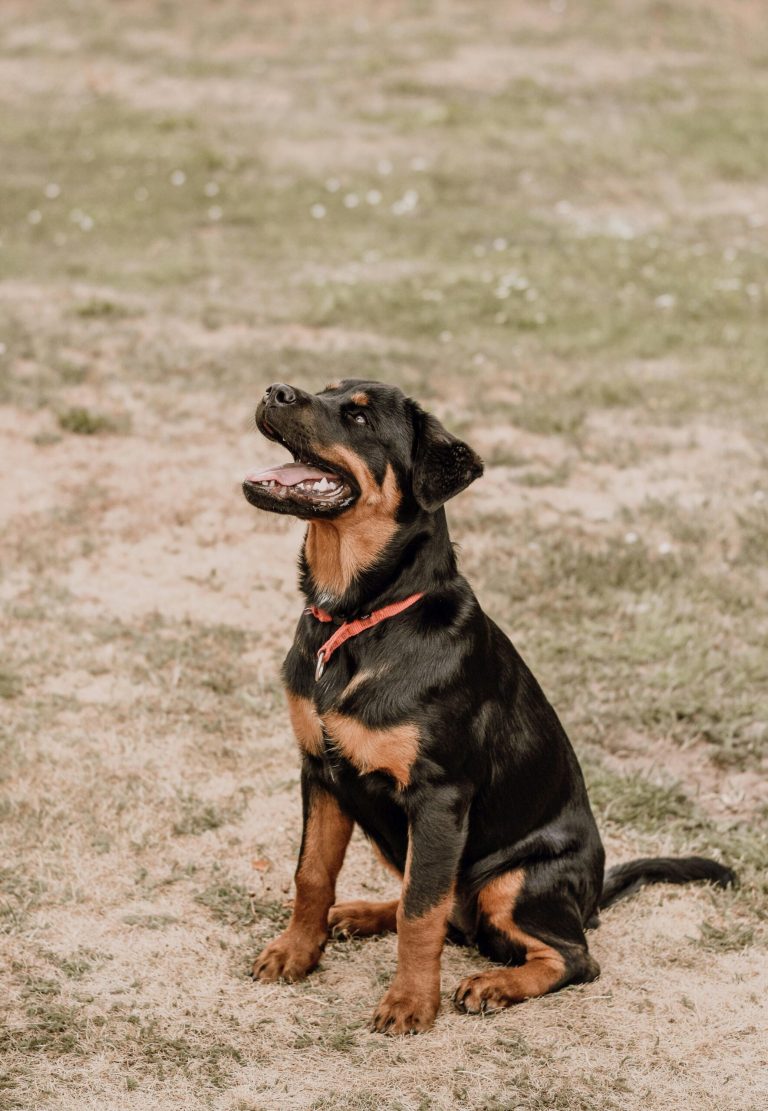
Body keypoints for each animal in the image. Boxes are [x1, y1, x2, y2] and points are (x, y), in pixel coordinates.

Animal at [243, 379, 737, 1031]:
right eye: (322, 390)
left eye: (359, 415)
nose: (274, 390)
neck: (357, 619)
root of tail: (592, 896)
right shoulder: (319, 771)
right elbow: (313, 874)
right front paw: (297, 952)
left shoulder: (440, 796)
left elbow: (420, 911)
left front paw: (409, 1004)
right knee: (448, 912)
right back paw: (362, 913)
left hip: (514, 882)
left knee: (569, 955)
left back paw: (494, 984)